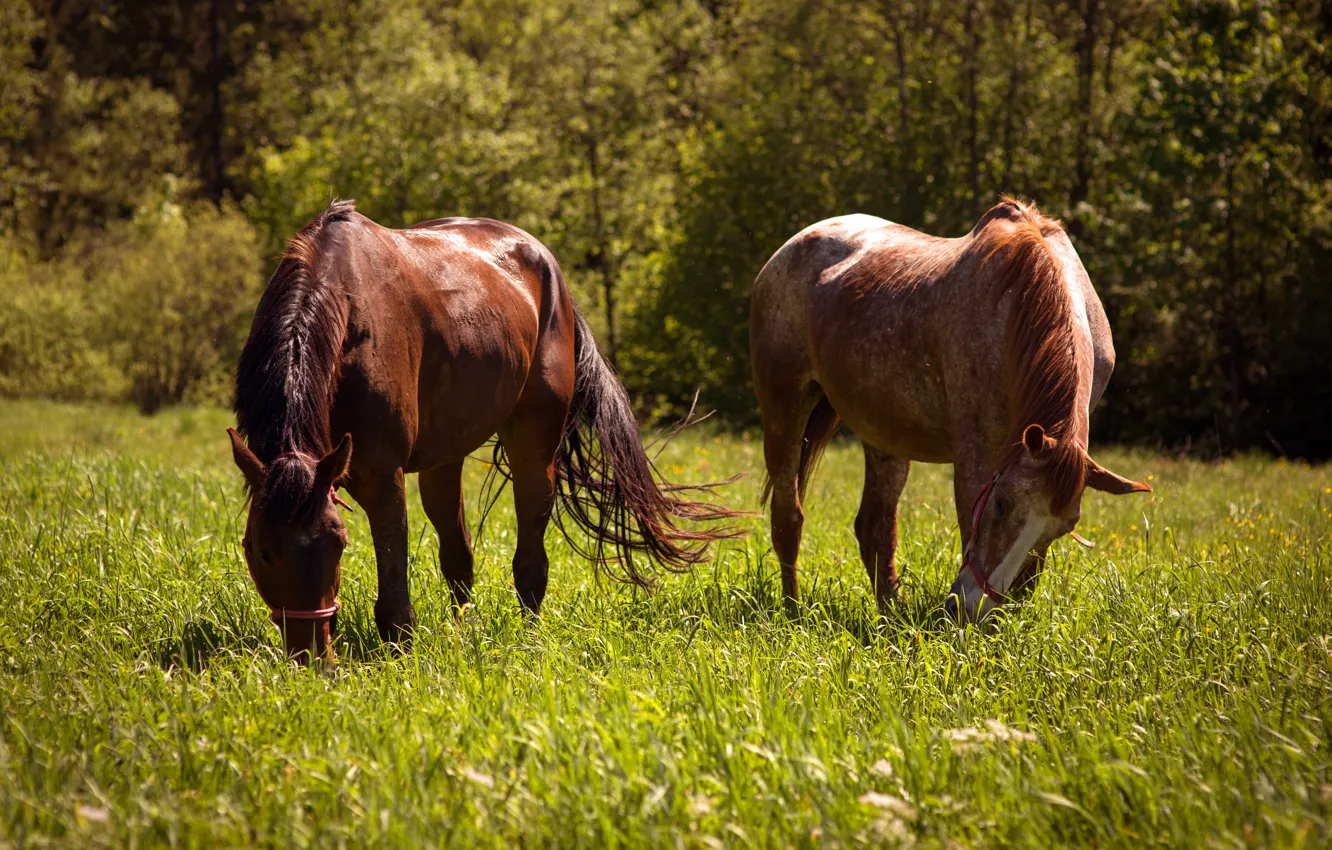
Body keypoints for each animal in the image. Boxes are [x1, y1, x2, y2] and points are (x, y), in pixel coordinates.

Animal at [228, 200, 738, 662]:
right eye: (260, 550)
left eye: (337, 544)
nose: (312, 658)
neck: (343, 308)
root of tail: (547, 264)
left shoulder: (381, 476)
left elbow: (394, 594)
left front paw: (400, 658)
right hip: (444, 458)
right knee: (459, 557)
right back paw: (463, 633)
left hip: (533, 450)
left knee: (530, 560)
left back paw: (528, 637)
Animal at [749, 197, 1150, 621]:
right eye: (1002, 504)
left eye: (1063, 527)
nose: (972, 607)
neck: (1018, 306)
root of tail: (791, 248)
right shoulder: (977, 454)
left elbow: (1031, 572)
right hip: (785, 412)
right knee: (788, 517)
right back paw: (792, 611)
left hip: (885, 435)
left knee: (875, 526)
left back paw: (890, 617)